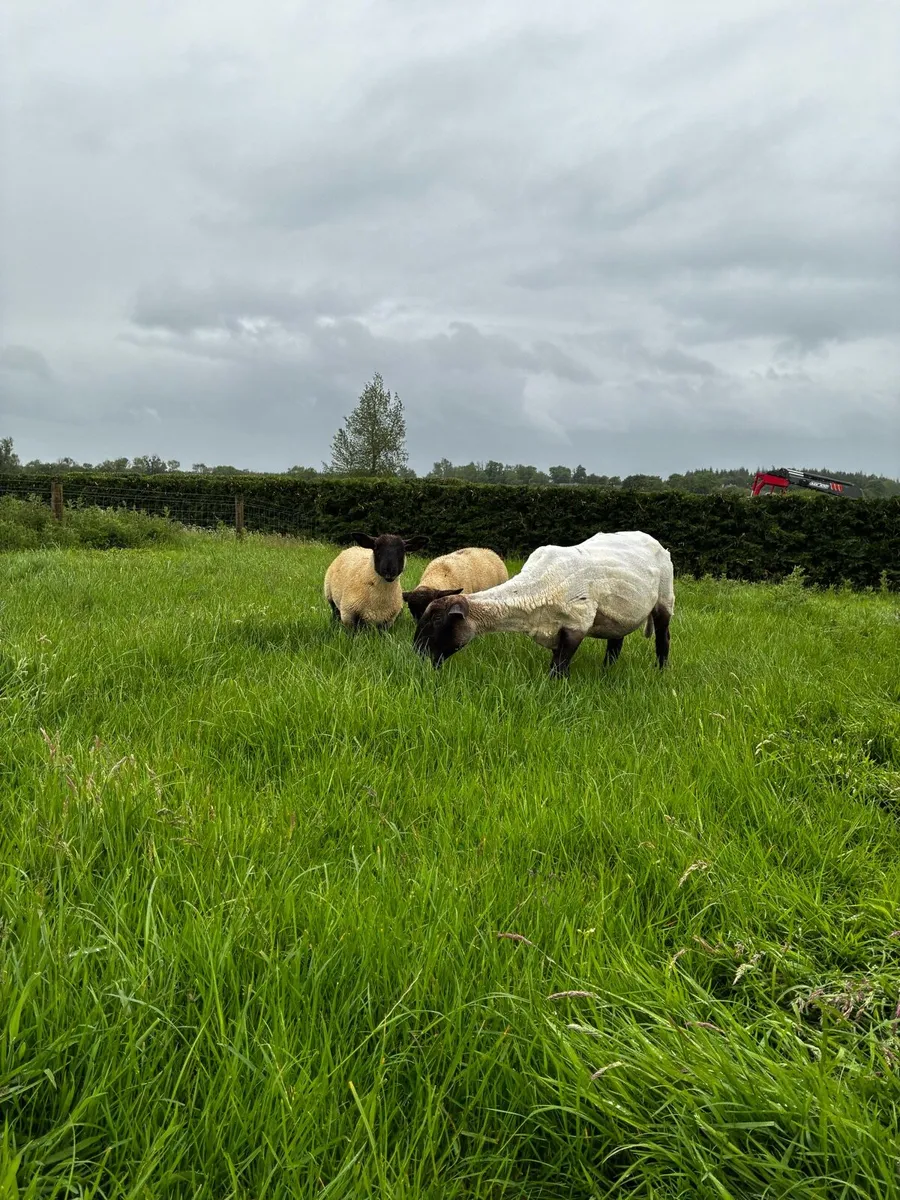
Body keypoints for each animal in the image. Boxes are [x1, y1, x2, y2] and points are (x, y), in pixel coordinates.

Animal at [412, 530, 674, 677]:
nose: (417, 653)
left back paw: (660, 671)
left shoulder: (576, 625)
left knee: (663, 638)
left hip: (665, 599)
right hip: (617, 613)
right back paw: (606, 671)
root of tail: (653, 540)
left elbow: (558, 670)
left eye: (437, 619)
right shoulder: (554, 629)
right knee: (615, 642)